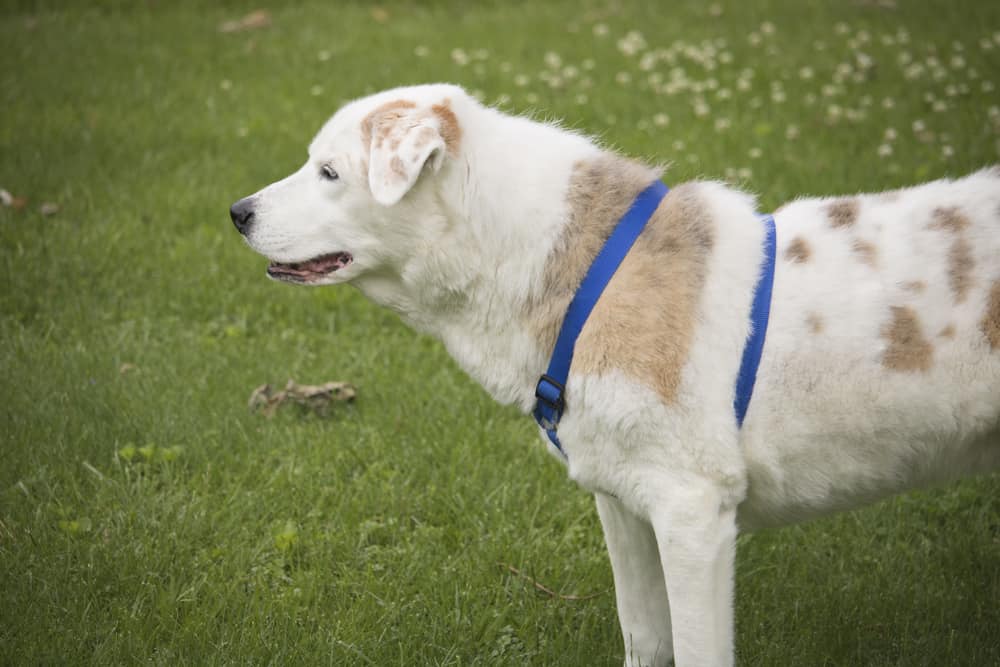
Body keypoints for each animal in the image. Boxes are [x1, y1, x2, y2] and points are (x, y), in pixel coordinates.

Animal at [230, 83, 1000, 667]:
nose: (237, 212)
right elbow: (646, 638)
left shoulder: (692, 517)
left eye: (330, 173)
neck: (588, 283)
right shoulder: (624, 505)